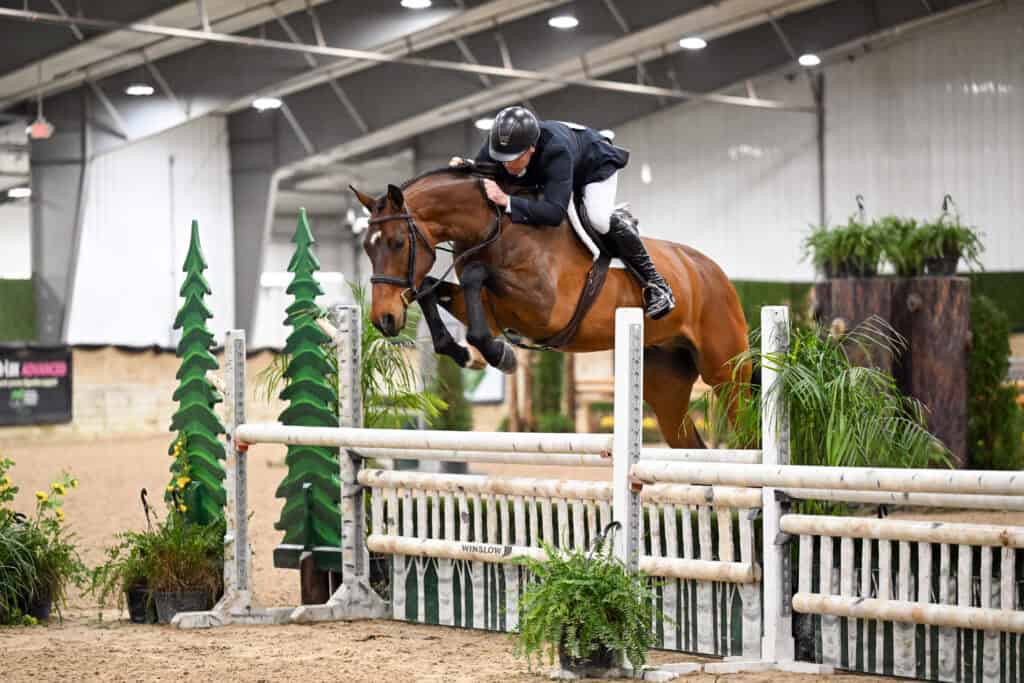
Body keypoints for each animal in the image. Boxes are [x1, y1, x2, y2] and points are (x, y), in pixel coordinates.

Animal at [350, 168, 750, 449]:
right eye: (367, 248)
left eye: (398, 243)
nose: (383, 320)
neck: (497, 228)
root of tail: (712, 272)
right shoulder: (486, 306)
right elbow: (431, 290)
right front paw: (465, 352)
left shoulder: (545, 308)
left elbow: (476, 277)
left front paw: (498, 354)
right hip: (665, 383)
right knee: (690, 445)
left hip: (725, 372)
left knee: (748, 435)